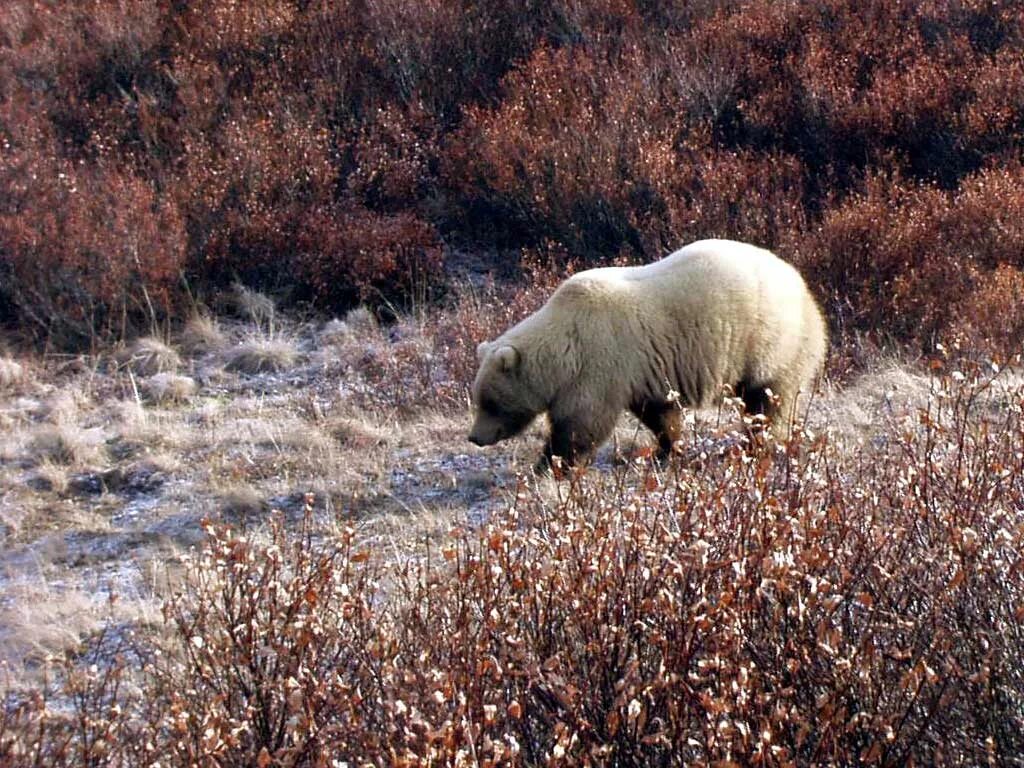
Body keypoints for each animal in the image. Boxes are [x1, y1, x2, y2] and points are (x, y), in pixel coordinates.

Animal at [468, 239, 827, 468]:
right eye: (479, 398)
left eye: (491, 402)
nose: (475, 437)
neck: (564, 348)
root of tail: (804, 288)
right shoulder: (642, 371)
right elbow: (660, 414)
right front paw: (667, 450)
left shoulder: (599, 364)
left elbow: (582, 423)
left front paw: (550, 464)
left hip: (769, 341)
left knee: (766, 399)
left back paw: (759, 444)